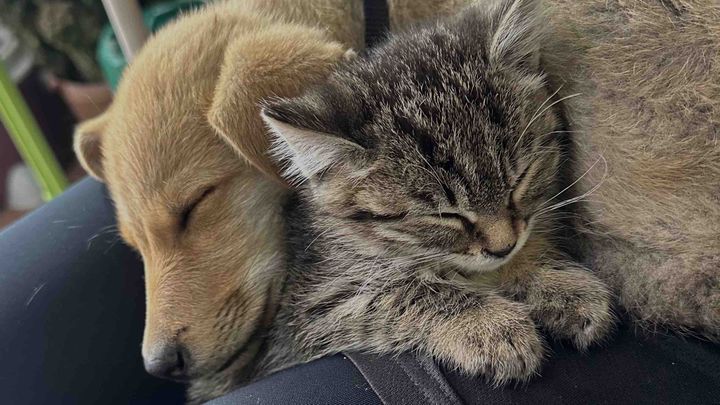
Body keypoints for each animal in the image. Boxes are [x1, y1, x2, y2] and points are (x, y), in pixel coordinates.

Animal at [258, 0, 614, 383]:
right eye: (445, 215)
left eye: (519, 181)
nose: (503, 247)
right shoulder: (314, 310)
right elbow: (400, 292)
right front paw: (489, 325)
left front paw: (556, 282)